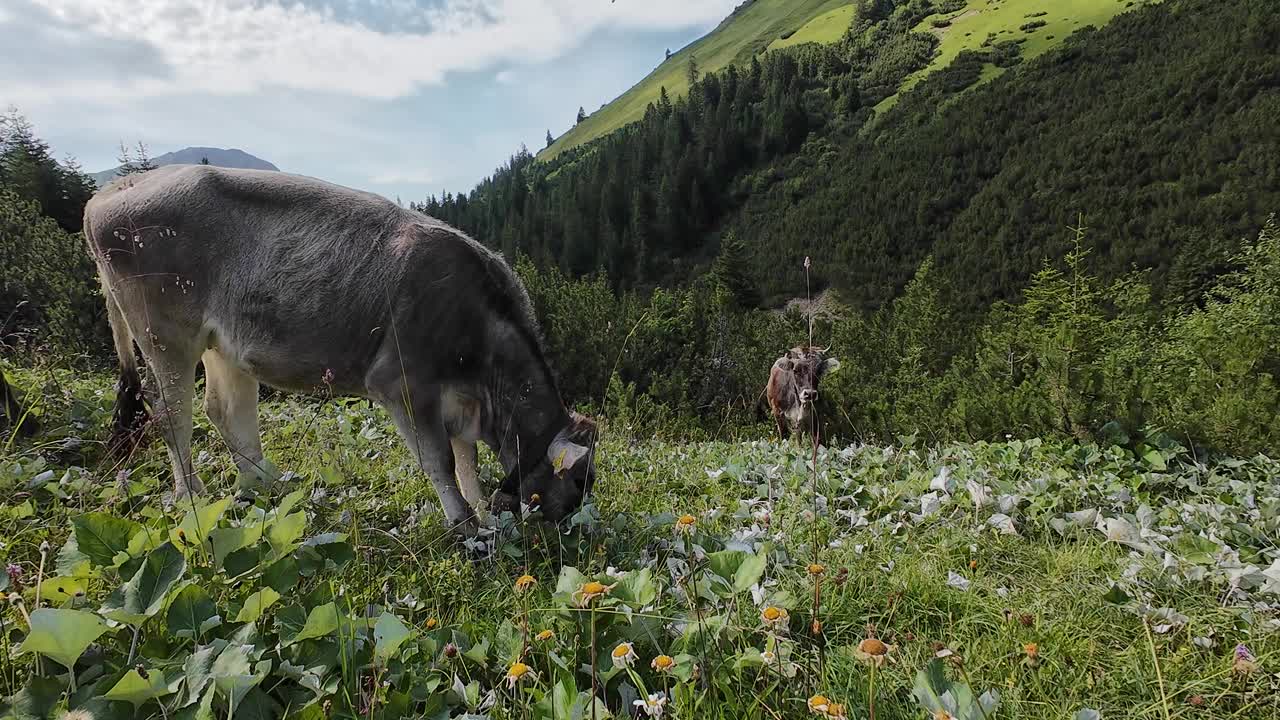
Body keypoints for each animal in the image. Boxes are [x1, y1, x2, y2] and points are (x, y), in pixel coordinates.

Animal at [87, 163, 596, 532]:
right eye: (574, 487)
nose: (565, 535)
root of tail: (118, 186)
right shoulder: (402, 385)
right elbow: (442, 461)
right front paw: (465, 526)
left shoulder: (461, 402)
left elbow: (467, 462)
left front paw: (483, 515)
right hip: (164, 335)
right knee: (170, 414)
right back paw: (192, 498)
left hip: (222, 345)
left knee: (224, 409)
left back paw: (266, 486)